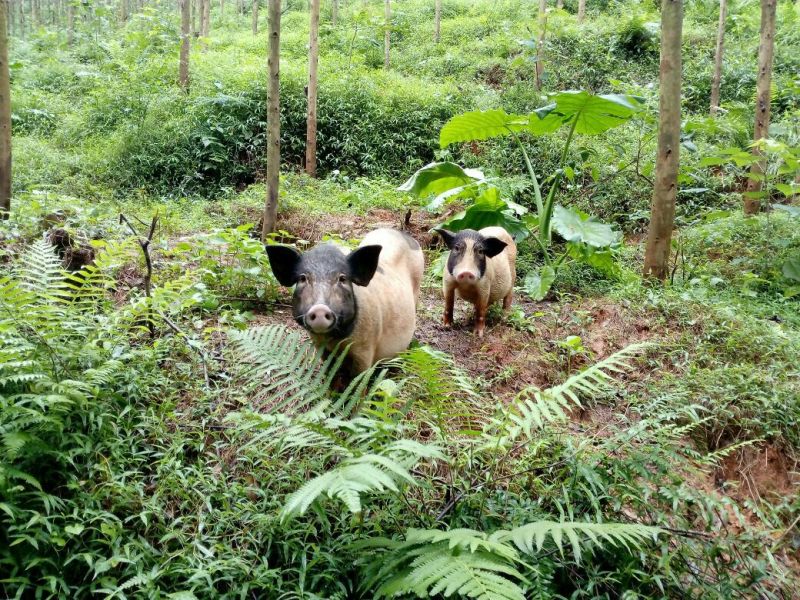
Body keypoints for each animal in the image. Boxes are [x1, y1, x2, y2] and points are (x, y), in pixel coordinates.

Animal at [266, 229, 424, 372]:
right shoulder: (320, 347)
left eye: (342, 278)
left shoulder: (366, 349)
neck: (335, 340)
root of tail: (404, 234)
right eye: (302, 278)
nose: (320, 309)